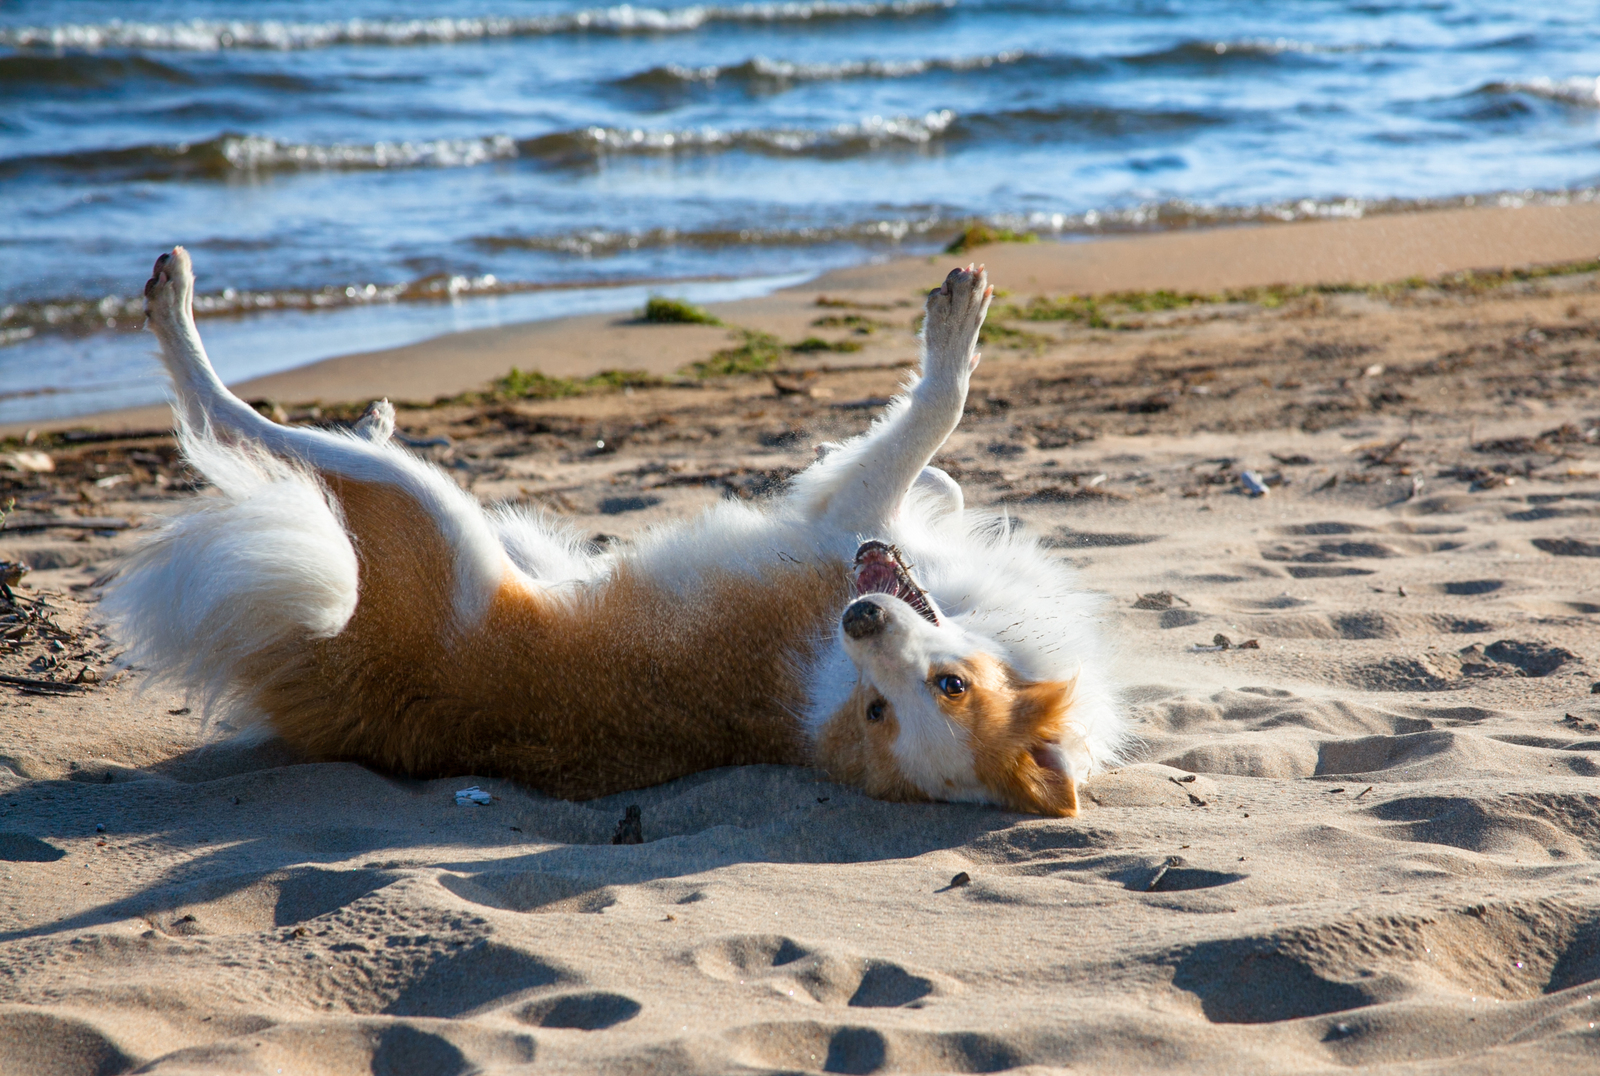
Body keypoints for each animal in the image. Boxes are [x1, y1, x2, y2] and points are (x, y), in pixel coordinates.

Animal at [103, 246, 1126, 816]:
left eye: (932, 693)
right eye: (883, 706)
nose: (859, 618)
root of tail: (360, 692)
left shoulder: (849, 513)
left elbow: (931, 411)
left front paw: (951, 339)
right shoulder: (859, 515)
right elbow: (933, 445)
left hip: (419, 514)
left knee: (234, 418)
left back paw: (178, 309)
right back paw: (355, 404)